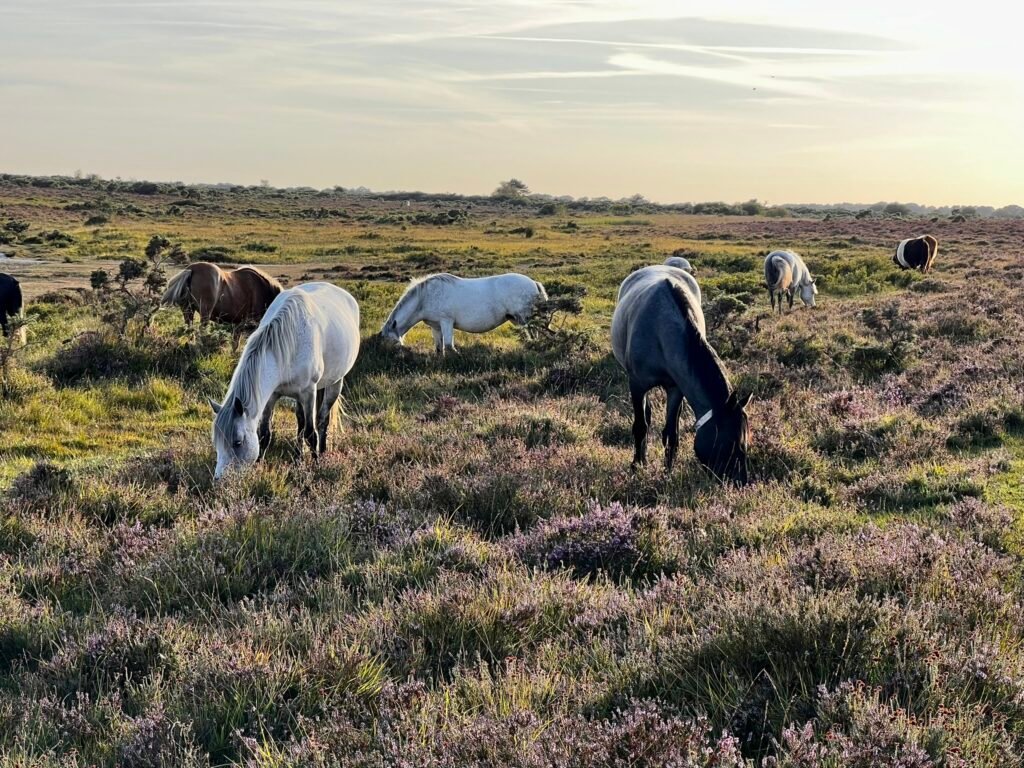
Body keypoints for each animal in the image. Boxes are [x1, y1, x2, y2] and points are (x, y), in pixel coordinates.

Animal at [209, 282, 360, 479]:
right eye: (216, 442)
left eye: (238, 442)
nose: (219, 479)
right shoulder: (272, 395)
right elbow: (265, 433)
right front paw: (259, 466)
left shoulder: (309, 393)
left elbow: (311, 434)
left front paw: (316, 466)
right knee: (301, 423)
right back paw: (297, 458)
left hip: (335, 383)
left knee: (322, 421)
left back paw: (323, 454)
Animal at [380, 272, 548, 354]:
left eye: (393, 343)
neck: (426, 296)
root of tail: (534, 283)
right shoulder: (435, 326)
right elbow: (439, 348)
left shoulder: (446, 322)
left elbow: (449, 346)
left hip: (525, 318)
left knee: (534, 334)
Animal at [611, 265, 752, 483]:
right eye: (730, 443)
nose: (742, 482)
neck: (660, 329)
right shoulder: (637, 385)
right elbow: (640, 426)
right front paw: (637, 465)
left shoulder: (675, 389)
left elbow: (671, 433)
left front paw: (667, 473)